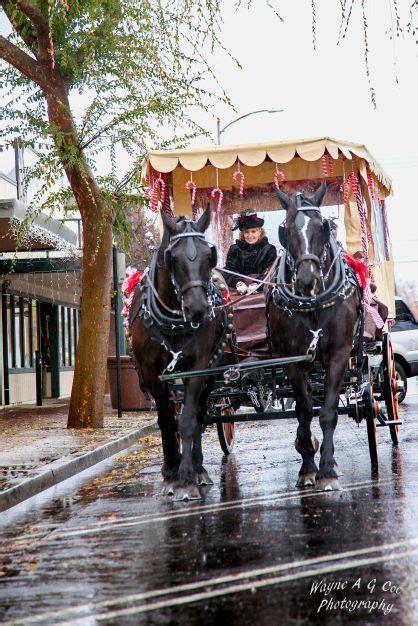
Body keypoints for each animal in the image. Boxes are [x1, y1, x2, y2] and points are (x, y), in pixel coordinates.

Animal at [131, 207, 229, 500]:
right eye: (172, 258)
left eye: (209, 255)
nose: (197, 308)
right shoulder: (153, 373)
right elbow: (166, 420)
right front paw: (171, 473)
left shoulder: (198, 367)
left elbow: (187, 420)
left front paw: (186, 478)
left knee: (199, 415)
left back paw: (198, 468)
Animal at [270, 179, 360, 488]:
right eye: (285, 228)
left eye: (322, 226)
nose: (308, 280)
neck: (313, 303)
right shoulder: (292, 359)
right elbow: (304, 411)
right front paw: (308, 466)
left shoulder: (339, 353)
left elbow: (328, 411)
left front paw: (328, 469)